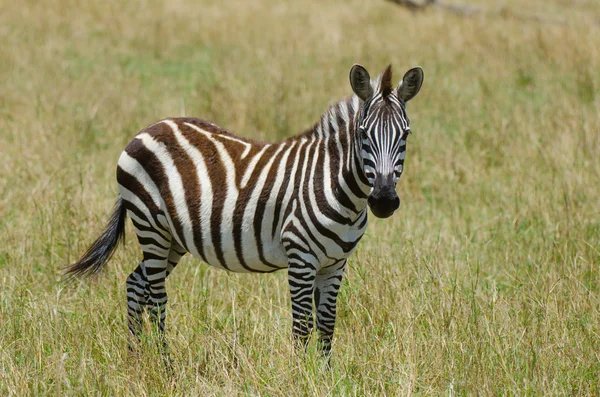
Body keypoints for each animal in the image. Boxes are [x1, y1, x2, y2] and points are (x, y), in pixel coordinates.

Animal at [67, 64, 422, 356]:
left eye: (406, 134)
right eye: (363, 134)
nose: (384, 201)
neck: (337, 188)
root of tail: (149, 128)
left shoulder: (335, 264)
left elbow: (326, 325)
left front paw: (325, 376)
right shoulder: (301, 257)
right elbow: (302, 327)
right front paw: (301, 377)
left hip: (171, 238)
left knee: (135, 283)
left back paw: (135, 358)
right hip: (150, 225)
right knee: (155, 296)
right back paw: (165, 365)